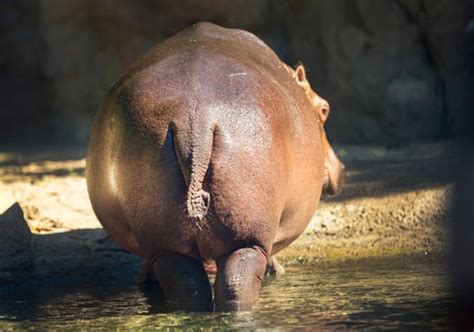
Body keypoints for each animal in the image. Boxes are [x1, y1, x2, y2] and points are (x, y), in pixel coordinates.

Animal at [86, 22, 344, 312]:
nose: (341, 168)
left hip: (167, 244)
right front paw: (277, 271)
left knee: (187, 287)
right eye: (325, 108)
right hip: (248, 240)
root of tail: (196, 119)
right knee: (238, 283)